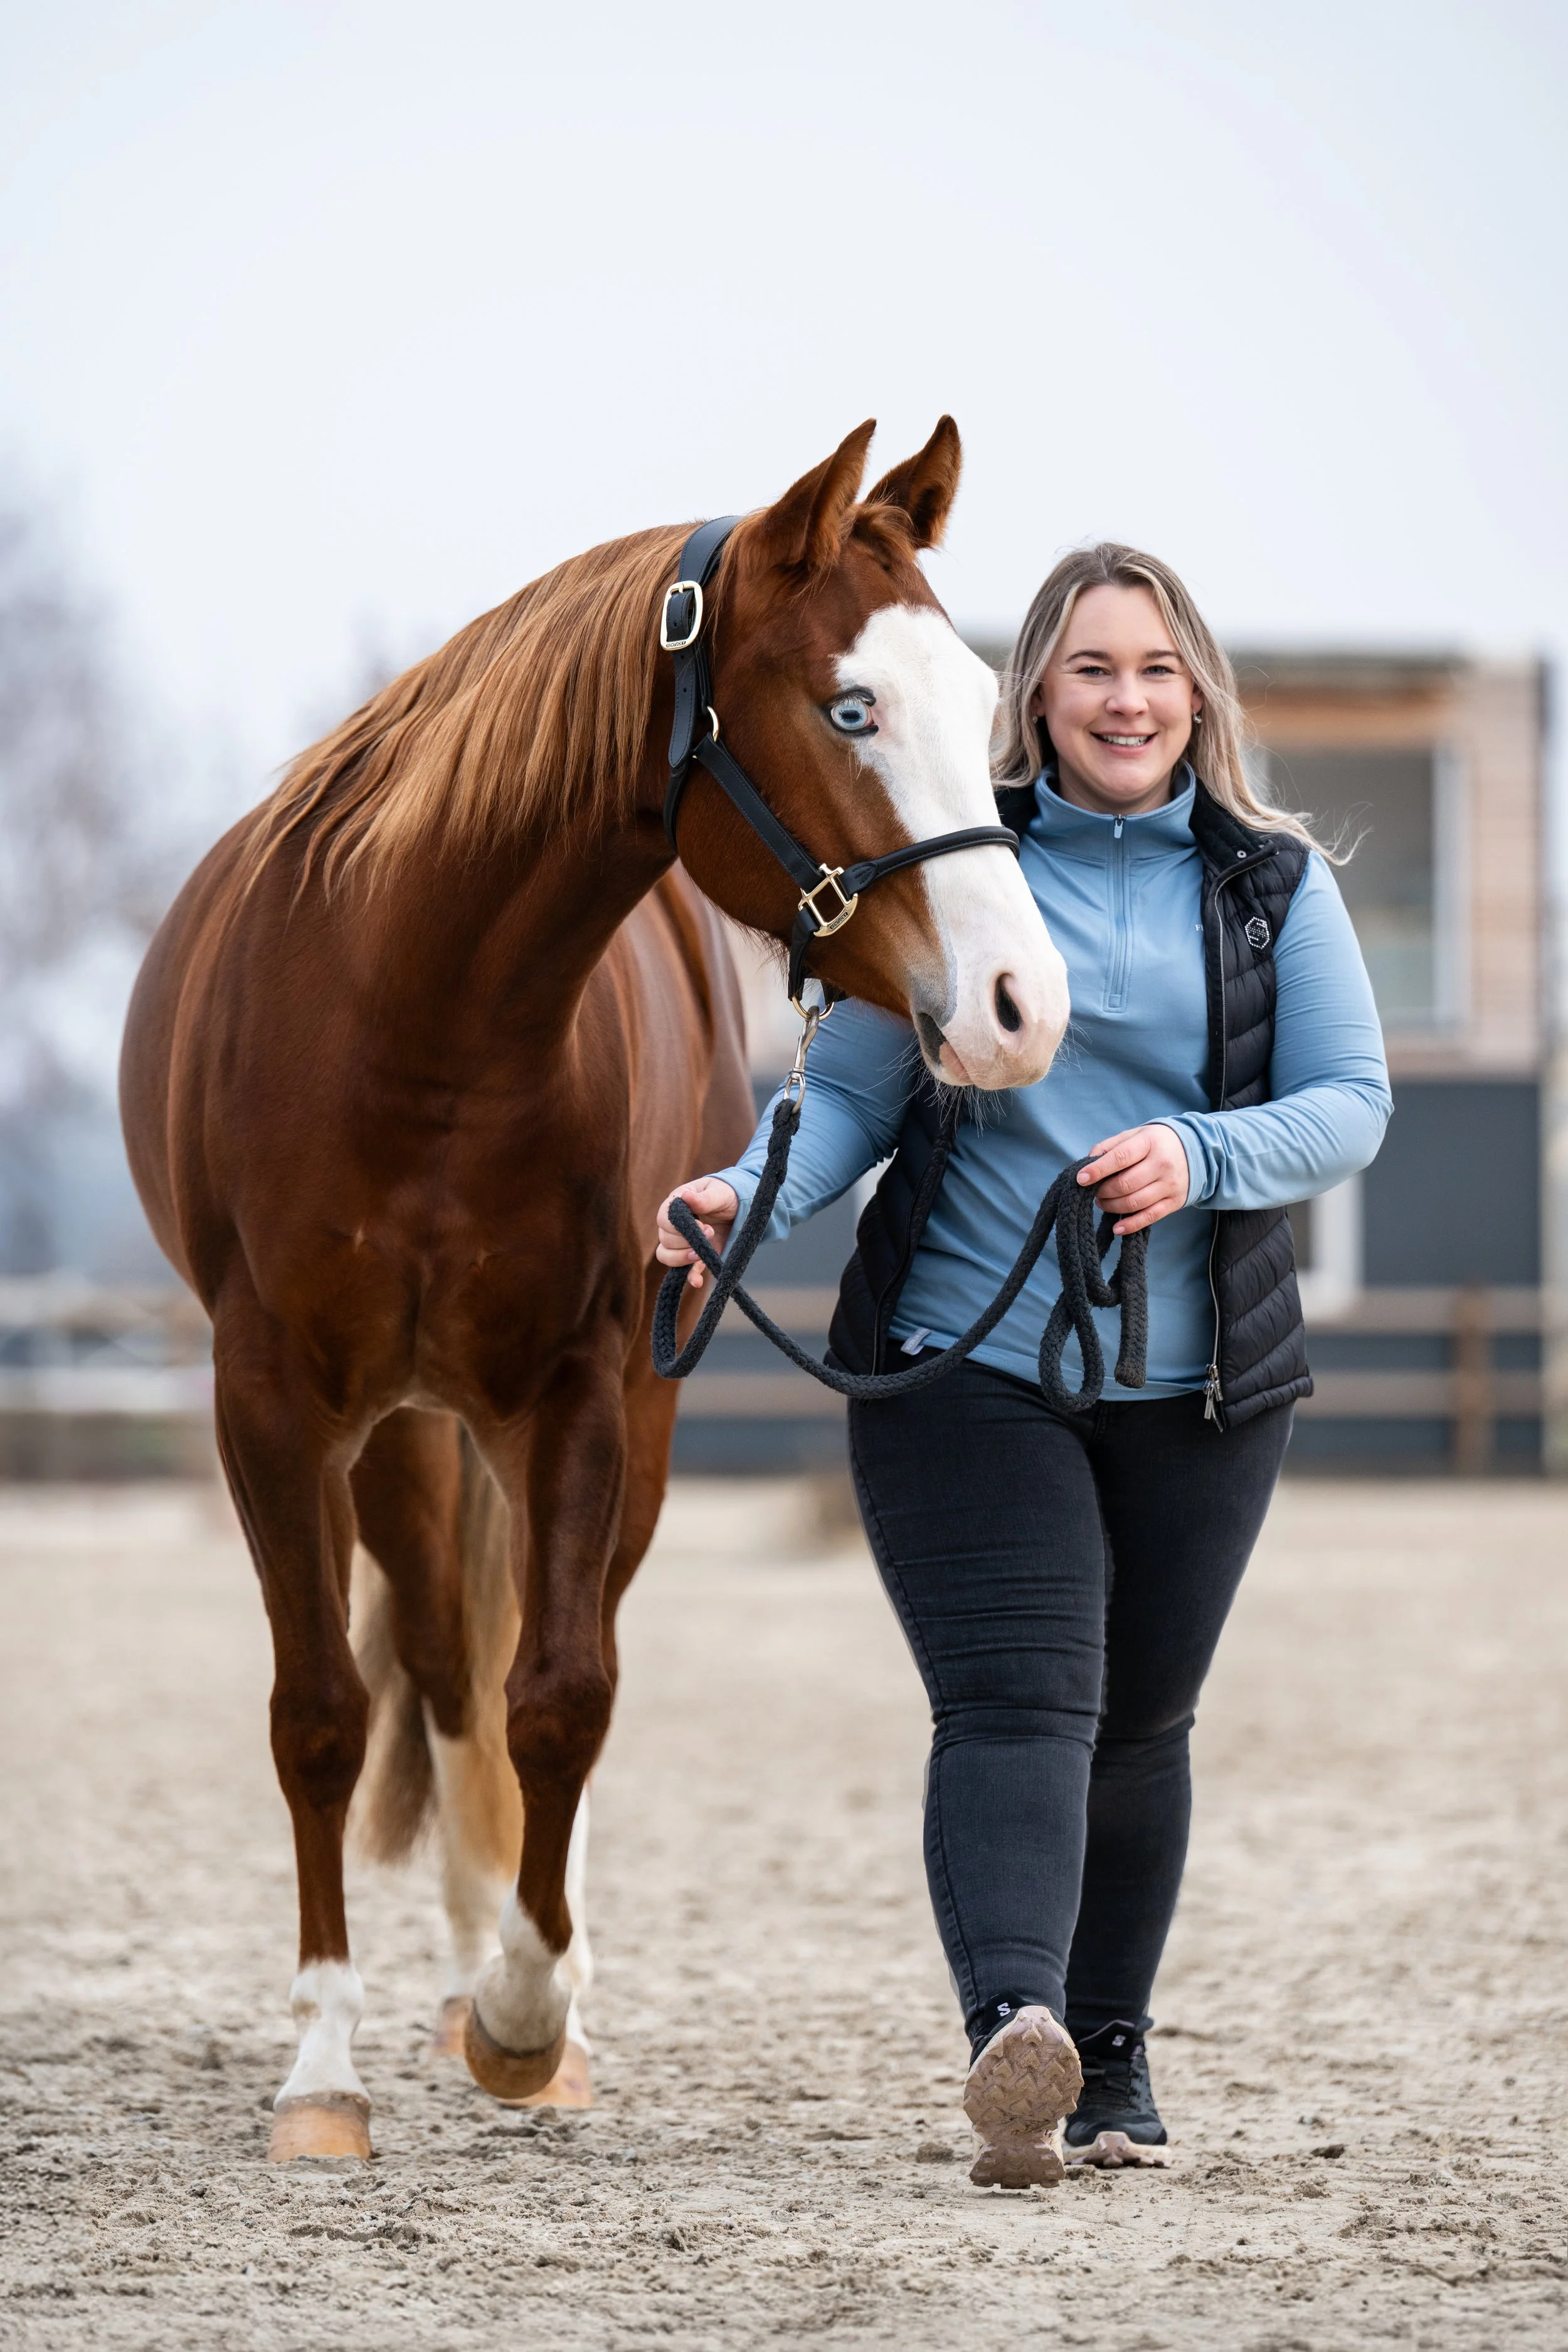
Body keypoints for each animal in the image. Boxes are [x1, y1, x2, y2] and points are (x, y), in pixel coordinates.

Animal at [118, 416, 1070, 2162]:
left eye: (981, 703)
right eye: (849, 707)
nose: (1018, 1006)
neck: (416, 1021)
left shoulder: (580, 1387)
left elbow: (561, 1695)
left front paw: (526, 2014)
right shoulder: (269, 1404)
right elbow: (322, 1715)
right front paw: (322, 2069)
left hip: (597, 1423)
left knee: (518, 1668)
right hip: (402, 1439)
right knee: (433, 1669)